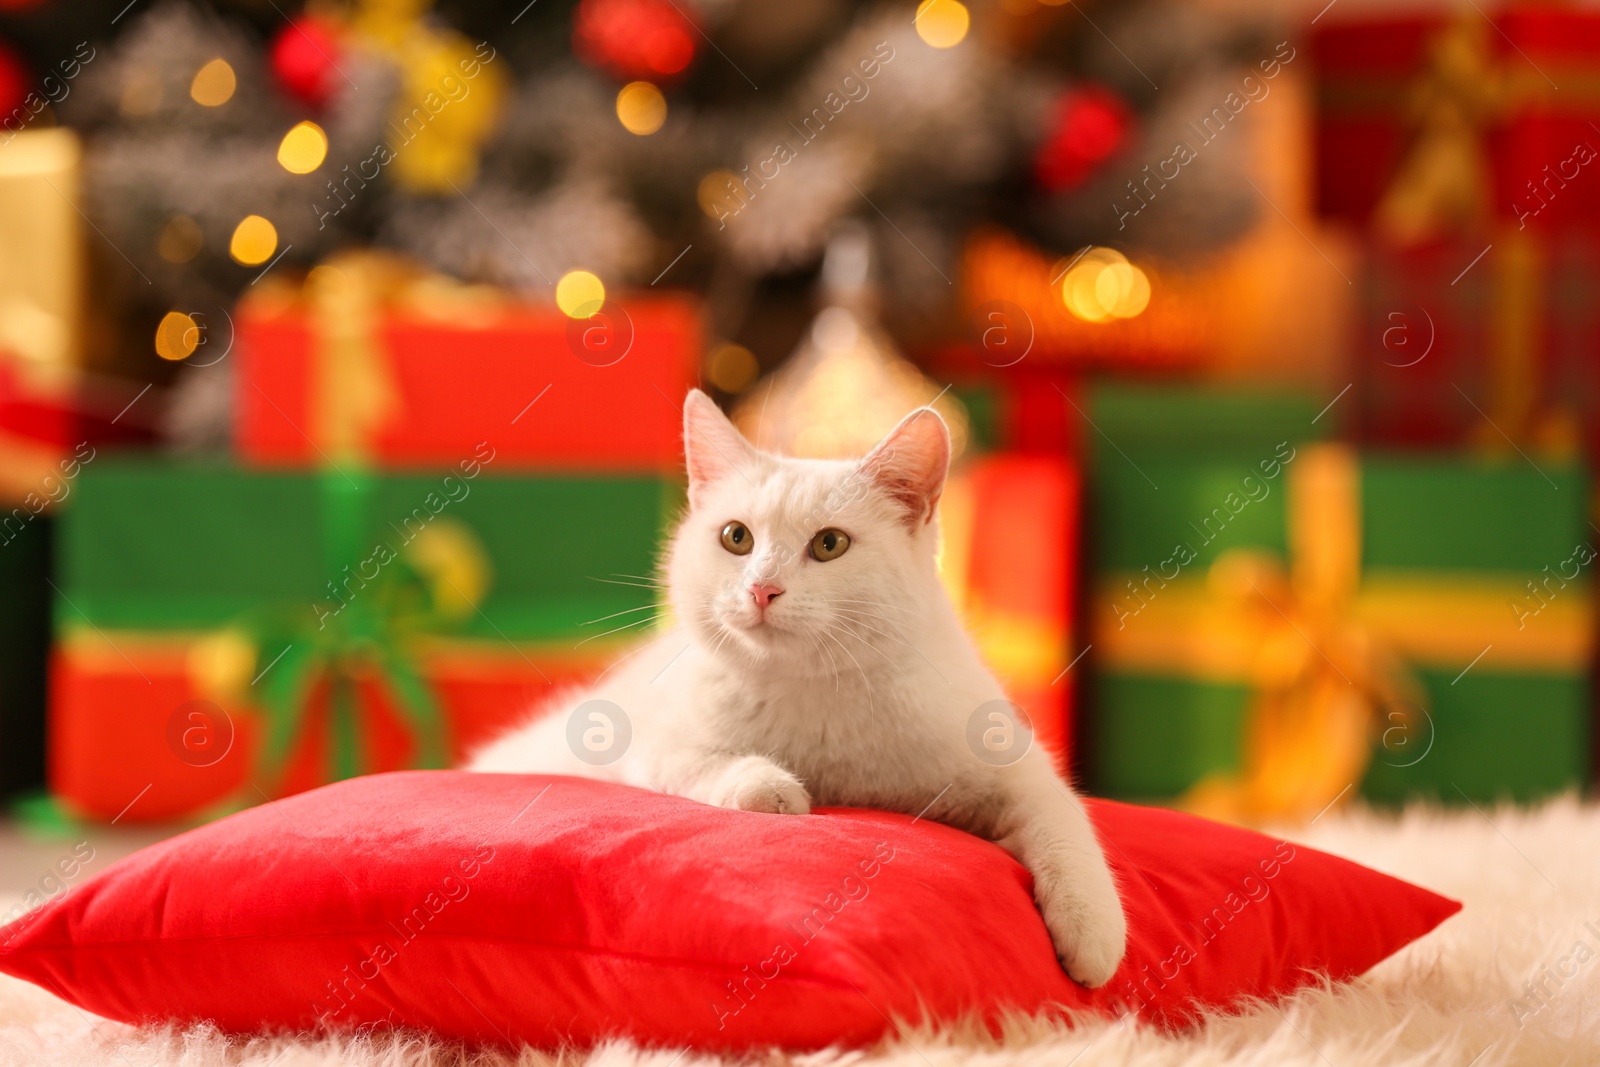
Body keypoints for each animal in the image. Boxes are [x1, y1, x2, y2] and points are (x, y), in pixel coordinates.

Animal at [467, 388, 1132, 991]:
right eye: (736, 537)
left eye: (829, 544)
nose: (762, 588)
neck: (814, 692)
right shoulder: (652, 741)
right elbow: (706, 766)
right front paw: (774, 789)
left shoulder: (1010, 762)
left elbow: (1064, 819)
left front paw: (1093, 931)